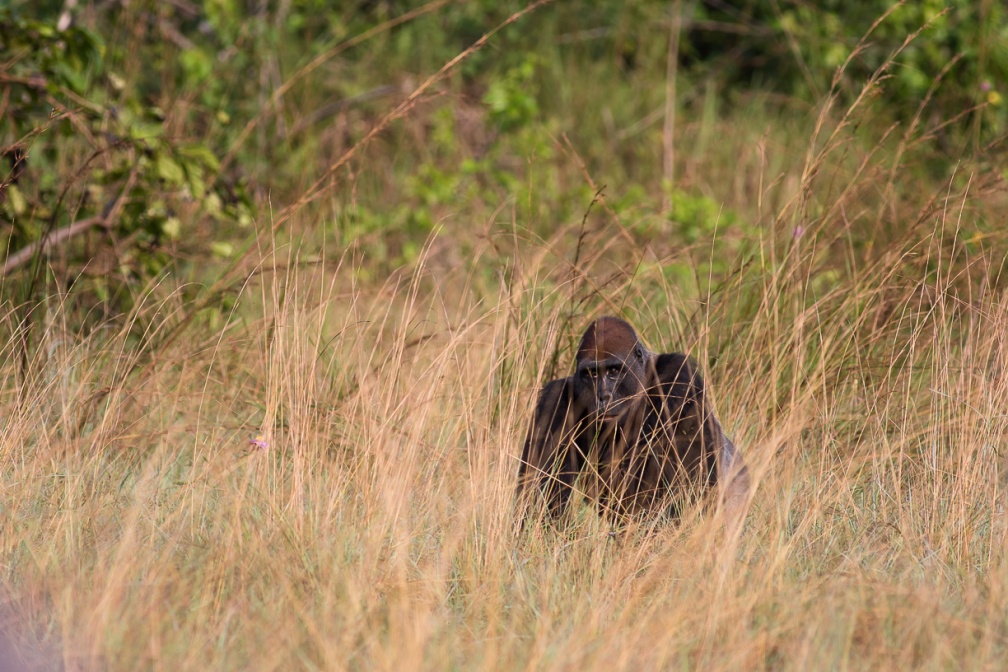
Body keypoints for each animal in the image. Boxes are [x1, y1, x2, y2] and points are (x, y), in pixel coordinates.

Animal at [516, 316, 749, 527]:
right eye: (591, 374)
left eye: (613, 371)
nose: (603, 397)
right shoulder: (555, 400)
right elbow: (540, 499)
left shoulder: (679, 380)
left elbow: (689, 481)